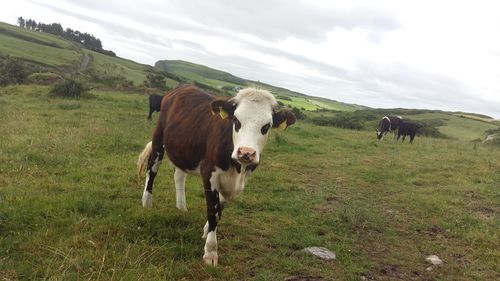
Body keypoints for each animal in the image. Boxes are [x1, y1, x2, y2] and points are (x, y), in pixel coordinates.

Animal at [136, 83, 296, 264]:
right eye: (236, 121)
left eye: (266, 126)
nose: (246, 153)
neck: (237, 169)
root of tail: (182, 87)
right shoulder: (208, 172)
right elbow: (213, 211)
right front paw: (211, 251)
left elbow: (220, 207)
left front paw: (206, 231)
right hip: (159, 138)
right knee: (152, 170)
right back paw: (147, 202)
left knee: (179, 175)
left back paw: (182, 207)